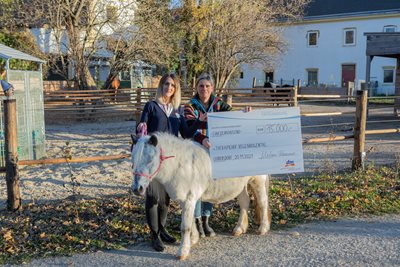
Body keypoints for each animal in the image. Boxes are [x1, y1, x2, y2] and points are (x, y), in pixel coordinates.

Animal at [130, 133, 270, 260]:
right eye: (133, 162)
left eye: (150, 160)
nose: (137, 189)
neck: (181, 165)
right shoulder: (186, 200)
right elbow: (191, 221)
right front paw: (193, 240)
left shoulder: (189, 199)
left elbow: (185, 227)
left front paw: (183, 251)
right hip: (240, 185)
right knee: (244, 202)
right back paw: (239, 228)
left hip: (258, 181)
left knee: (262, 203)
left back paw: (263, 228)